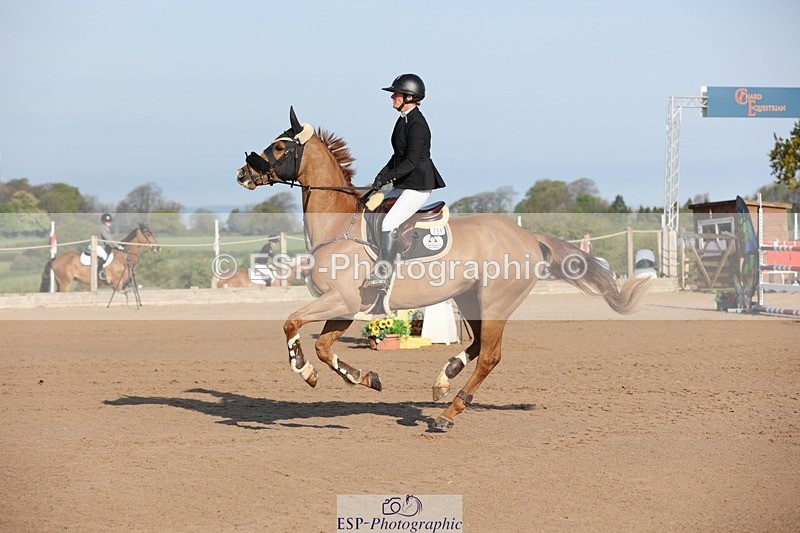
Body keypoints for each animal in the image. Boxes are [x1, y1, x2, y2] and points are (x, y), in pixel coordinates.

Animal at [236, 108, 648, 432]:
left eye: (279, 147)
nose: (243, 174)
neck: (340, 224)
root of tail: (528, 236)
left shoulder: (341, 300)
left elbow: (291, 324)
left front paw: (303, 370)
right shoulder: (347, 307)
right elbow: (323, 347)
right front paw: (366, 378)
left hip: (495, 303)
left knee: (491, 356)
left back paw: (448, 414)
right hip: (469, 299)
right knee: (478, 346)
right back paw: (442, 381)